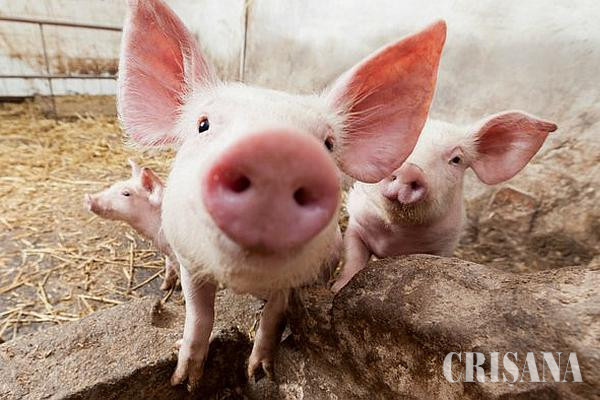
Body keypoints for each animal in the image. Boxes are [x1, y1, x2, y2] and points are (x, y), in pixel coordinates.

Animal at [117, 0, 446, 390]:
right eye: (203, 124)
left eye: (328, 143)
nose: (278, 150)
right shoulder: (189, 260)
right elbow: (199, 315)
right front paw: (184, 380)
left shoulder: (294, 280)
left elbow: (274, 316)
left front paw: (259, 373)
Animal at [331, 111, 557, 293]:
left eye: (456, 159)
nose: (410, 170)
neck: (396, 235)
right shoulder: (357, 224)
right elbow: (353, 258)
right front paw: (337, 288)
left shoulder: (445, 245)